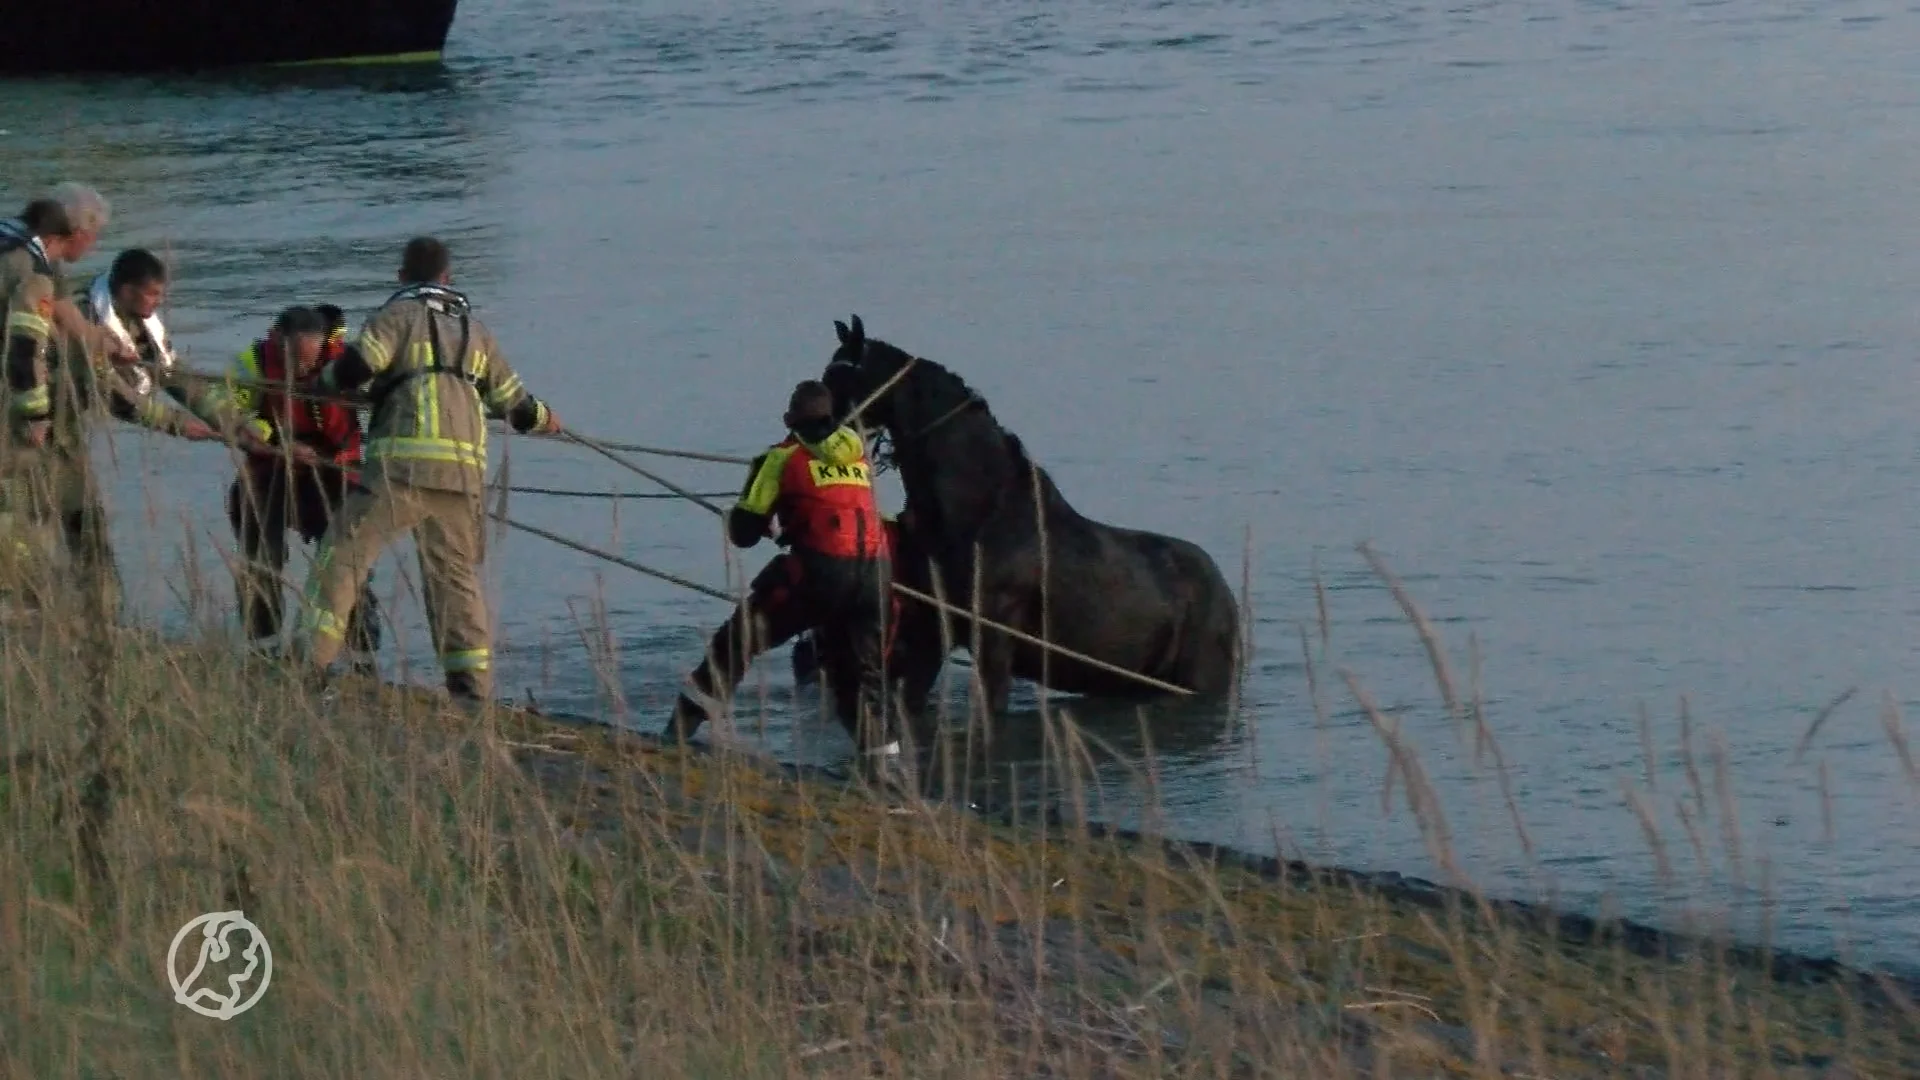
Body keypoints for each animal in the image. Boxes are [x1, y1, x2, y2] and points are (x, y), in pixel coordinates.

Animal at [813, 314, 1244, 724]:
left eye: (838, 376)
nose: (805, 425)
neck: (977, 511)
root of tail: (1227, 597)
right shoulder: (933, 631)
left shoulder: (993, 642)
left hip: (1198, 679)